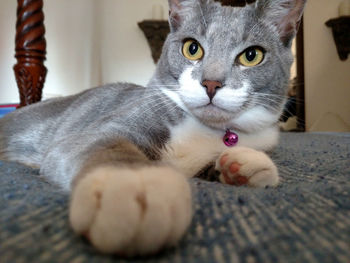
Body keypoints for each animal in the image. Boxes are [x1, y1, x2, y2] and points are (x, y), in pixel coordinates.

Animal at [0, 0, 306, 256]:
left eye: (251, 55)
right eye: (192, 48)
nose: (211, 83)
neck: (206, 130)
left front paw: (242, 165)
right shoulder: (105, 127)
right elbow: (107, 145)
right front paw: (132, 188)